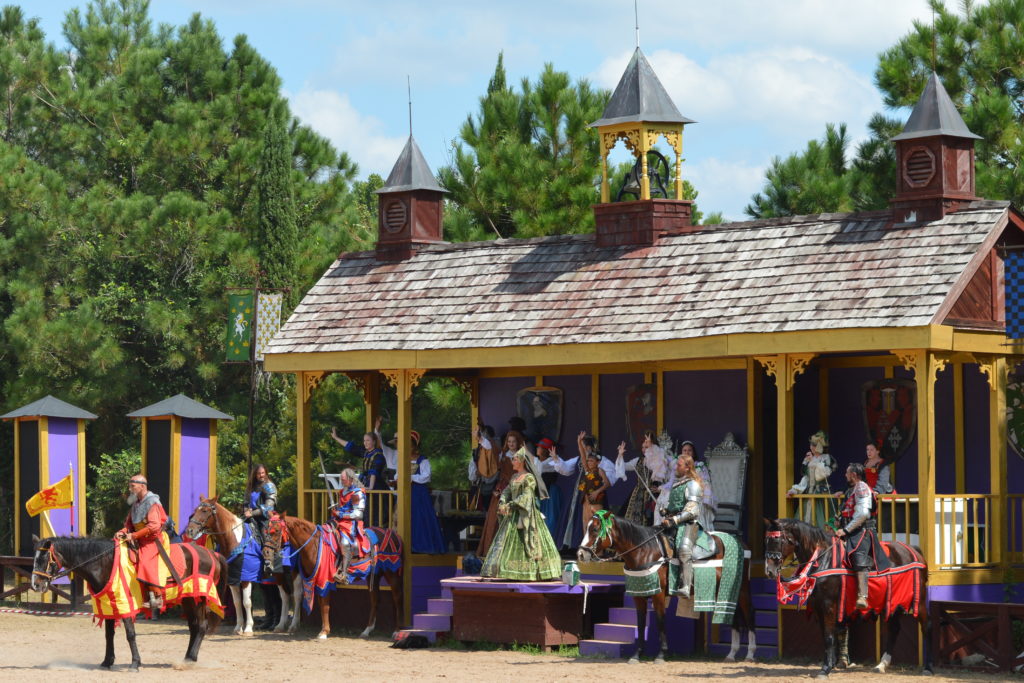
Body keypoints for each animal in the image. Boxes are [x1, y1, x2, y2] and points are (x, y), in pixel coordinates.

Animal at [31, 532, 226, 671]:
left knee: (201, 626)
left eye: (43, 559)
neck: (104, 561)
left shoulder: (125, 604)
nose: (35, 585)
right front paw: (107, 661)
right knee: (194, 626)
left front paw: (135, 663)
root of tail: (211, 553)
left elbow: (130, 634)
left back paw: (188, 660)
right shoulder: (109, 604)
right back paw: (188, 659)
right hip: (187, 599)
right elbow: (108, 634)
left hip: (197, 598)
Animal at [186, 497, 301, 634]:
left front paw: (248, 628)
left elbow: (246, 602)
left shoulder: (246, 578)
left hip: (294, 573)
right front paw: (238, 627)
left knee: (295, 596)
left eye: (204, 510)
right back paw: (280, 625)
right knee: (285, 596)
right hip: (278, 575)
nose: (190, 530)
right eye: (195, 510)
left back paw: (292, 625)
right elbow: (237, 603)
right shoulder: (232, 579)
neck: (235, 540)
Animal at [274, 511, 405, 643]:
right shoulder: (318, 581)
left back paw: (397, 630)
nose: (270, 551)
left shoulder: (324, 580)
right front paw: (323, 629)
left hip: (392, 573)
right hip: (374, 575)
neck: (314, 545)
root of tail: (395, 535)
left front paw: (324, 632)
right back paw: (367, 630)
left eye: (276, 530)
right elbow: (321, 604)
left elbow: (325, 605)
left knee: (397, 598)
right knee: (375, 599)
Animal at [581, 511, 757, 663]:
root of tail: (740, 542)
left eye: (595, 529)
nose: (581, 554)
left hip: (742, 588)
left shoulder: (658, 595)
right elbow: (640, 623)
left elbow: (660, 621)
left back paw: (750, 654)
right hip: (726, 589)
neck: (645, 551)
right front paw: (637, 655)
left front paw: (661, 654)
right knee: (733, 615)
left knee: (749, 614)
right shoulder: (639, 595)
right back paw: (731, 654)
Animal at [765, 518, 933, 679]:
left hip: (919, 601)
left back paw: (928, 668)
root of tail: (914, 551)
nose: (769, 571)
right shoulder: (818, 606)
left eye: (777, 540)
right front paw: (830, 665)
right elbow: (826, 636)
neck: (823, 558)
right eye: (767, 540)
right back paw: (882, 665)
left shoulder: (829, 606)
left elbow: (829, 637)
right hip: (893, 603)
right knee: (894, 629)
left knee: (926, 627)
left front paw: (825, 669)